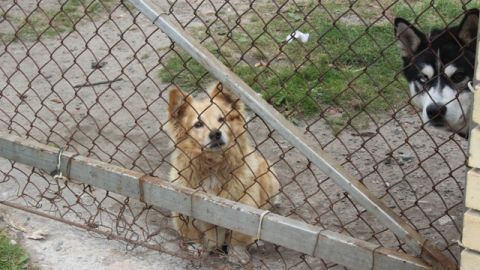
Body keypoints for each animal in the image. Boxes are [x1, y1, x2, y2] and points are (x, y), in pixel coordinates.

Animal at [165, 81, 280, 264]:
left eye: (222, 119)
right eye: (198, 124)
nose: (215, 133)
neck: (213, 165)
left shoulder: (244, 207)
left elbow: (238, 237)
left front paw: (237, 254)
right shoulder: (182, 202)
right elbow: (192, 232)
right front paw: (197, 249)